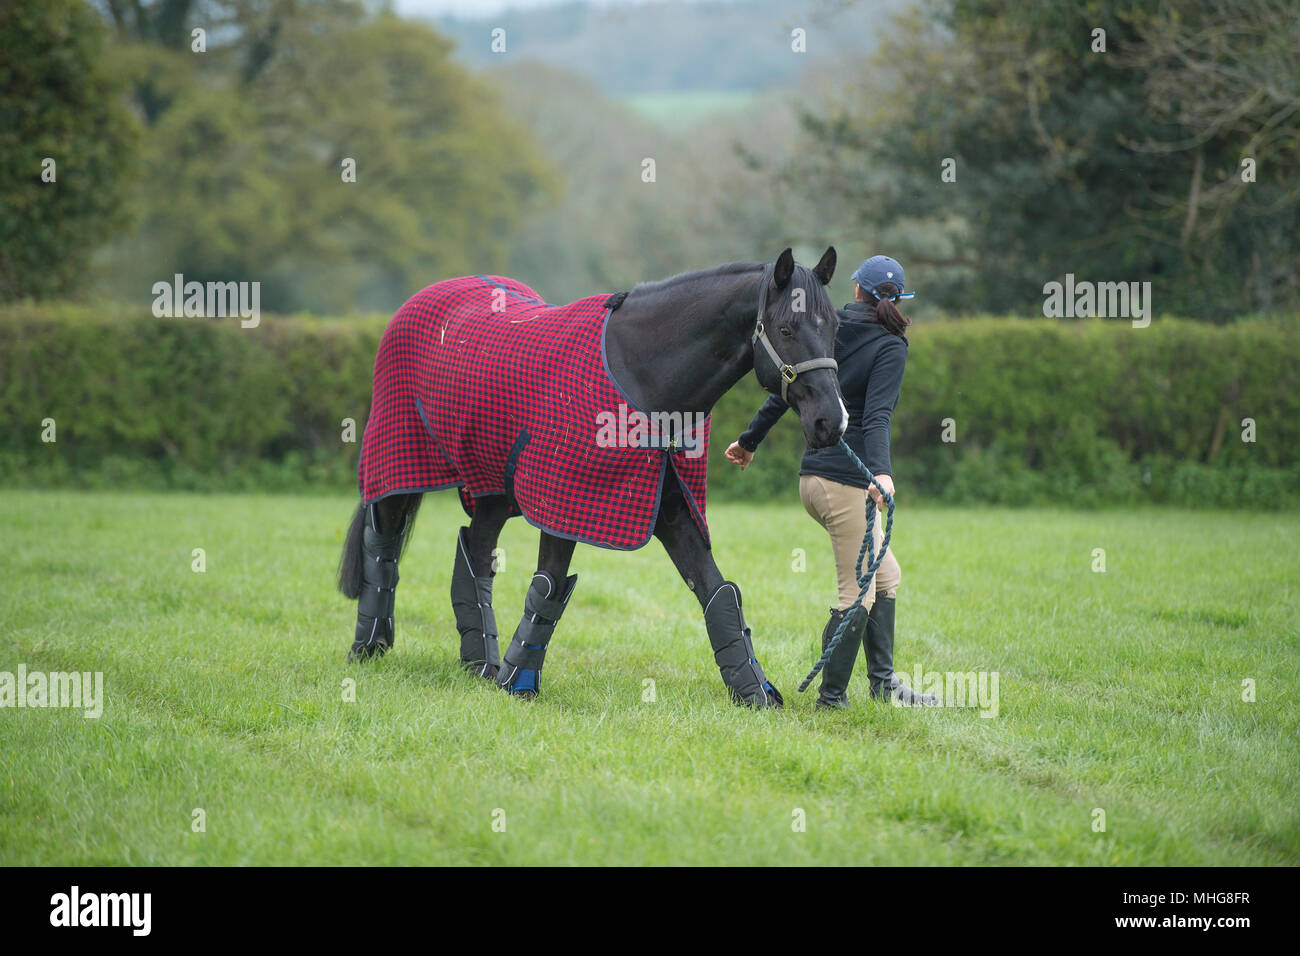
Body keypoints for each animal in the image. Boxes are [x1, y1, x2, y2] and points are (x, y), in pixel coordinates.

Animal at [337, 247, 845, 707]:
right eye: (785, 329)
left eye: (836, 328)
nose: (831, 422)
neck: (640, 378)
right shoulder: (562, 505)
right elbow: (547, 587)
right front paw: (517, 685)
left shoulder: (672, 510)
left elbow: (717, 591)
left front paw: (755, 692)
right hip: (398, 463)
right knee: (383, 544)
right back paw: (370, 646)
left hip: (491, 489)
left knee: (475, 553)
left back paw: (479, 662)